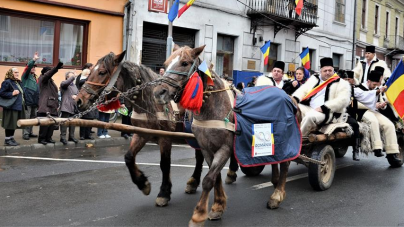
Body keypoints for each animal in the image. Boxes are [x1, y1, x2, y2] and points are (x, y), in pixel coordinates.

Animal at [75, 51, 238, 207]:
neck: (150, 101)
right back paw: (194, 181)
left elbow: (164, 164)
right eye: (91, 71)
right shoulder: (141, 134)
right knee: (200, 157)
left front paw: (163, 193)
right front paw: (143, 183)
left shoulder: (165, 137)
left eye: (102, 72)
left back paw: (231, 172)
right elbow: (129, 157)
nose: (79, 100)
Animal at [155, 45, 300, 226]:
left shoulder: (224, 148)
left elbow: (208, 179)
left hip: (285, 139)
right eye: (165, 63)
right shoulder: (207, 148)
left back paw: (277, 195)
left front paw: (199, 215)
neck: (214, 105)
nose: (159, 92)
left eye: (185, 63)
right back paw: (275, 182)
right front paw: (218, 206)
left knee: (285, 164)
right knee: (275, 160)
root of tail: (290, 98)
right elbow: (215, 176)